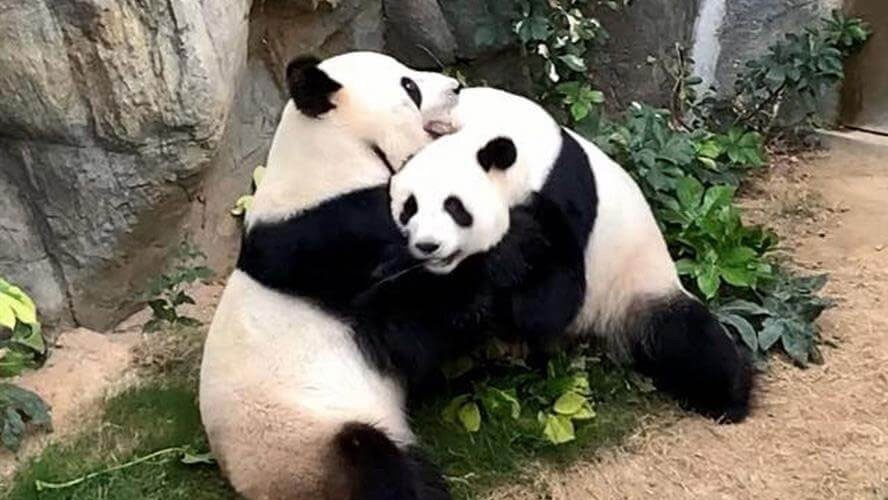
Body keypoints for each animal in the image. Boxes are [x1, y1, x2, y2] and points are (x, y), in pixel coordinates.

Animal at [199, 52, 461, 500]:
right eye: (410, 87)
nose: (457, 87)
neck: (332, 156)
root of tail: (250, 488)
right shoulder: (338, 238)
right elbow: (409, 325)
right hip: (306, 442)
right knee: (374, 457)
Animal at [388, 87, 753, 423]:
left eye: (454, 207)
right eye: (409, 207)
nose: (428, 246)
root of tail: (595, 334)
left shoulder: (562, 195)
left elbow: (551, 302)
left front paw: (507, 254)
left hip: (636, 287)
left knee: (687, 339)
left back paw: (729, 400)